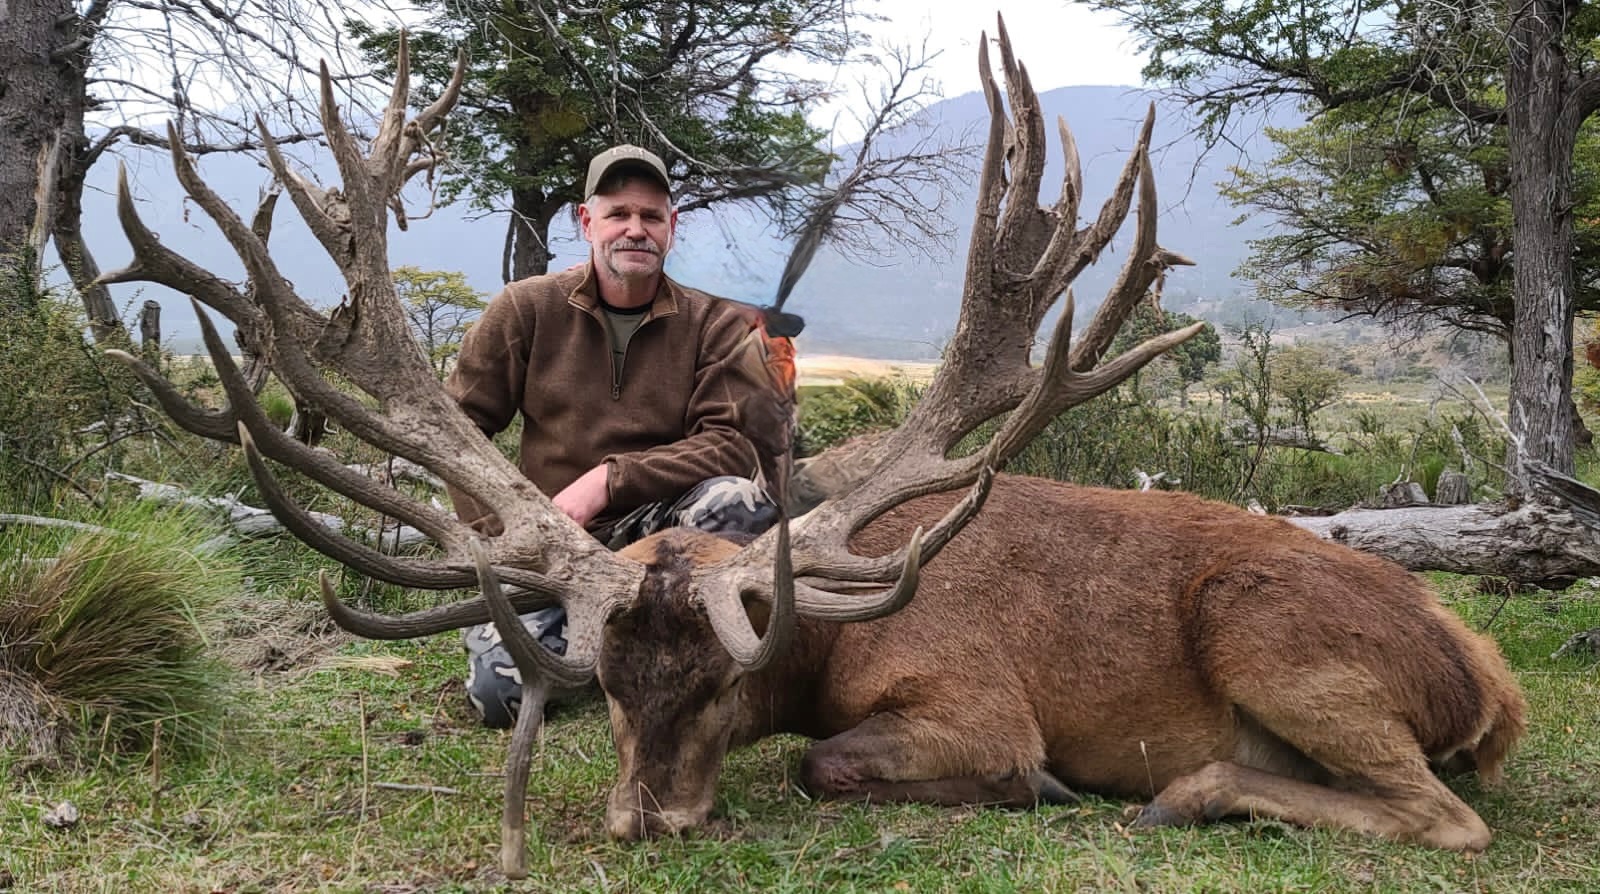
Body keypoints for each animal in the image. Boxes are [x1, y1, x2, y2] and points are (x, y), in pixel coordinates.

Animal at [99, 17, 1525, 880]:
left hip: (1268, 634)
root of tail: (1487, 681)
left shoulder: (979, 705)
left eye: (725, 686)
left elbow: (829, 759)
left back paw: (1183, 790)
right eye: (608, 686)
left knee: (1448, 819)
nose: (648, 817)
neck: (831, 634)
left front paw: (1048, 792)